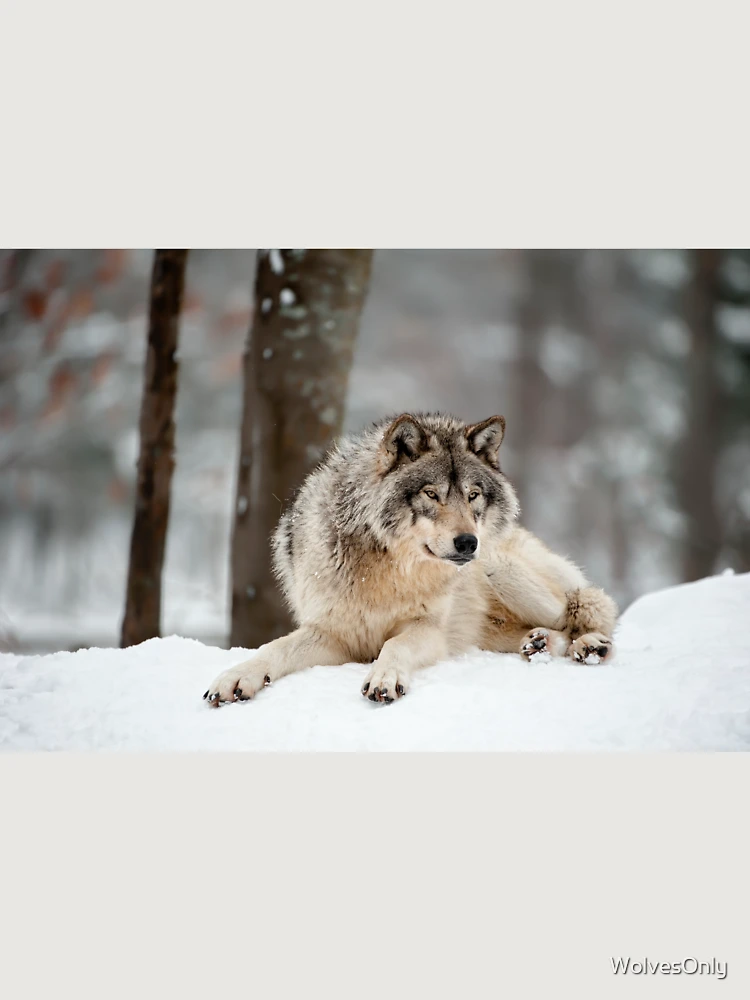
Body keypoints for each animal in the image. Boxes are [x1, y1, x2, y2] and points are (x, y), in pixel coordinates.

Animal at [205, 412, 618, 706]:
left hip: (503, 572)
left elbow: (394, 646)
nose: (468, 543)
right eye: (431, 494)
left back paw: (589, 646)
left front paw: (384, 679)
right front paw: (236, 677)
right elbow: (273, 648)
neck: (387, 571)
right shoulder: (334, 634)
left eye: (472, 495)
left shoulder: (428, 630)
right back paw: (540, 643)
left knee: (584, 613)